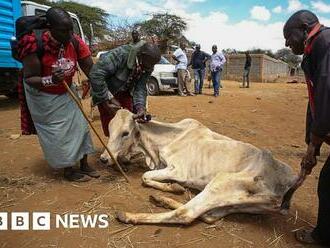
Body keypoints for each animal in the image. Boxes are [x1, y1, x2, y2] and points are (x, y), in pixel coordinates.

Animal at [101, 109, 300, 226]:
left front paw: (175, 186)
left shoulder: (177, 169)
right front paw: (174, 188)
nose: (103, 158)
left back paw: (129, 215)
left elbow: (145, 176)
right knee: (207, 216)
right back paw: (161, 199)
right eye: (109, 130)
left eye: (125, 133)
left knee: (186, 214)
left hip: (220, 182)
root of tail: (286, 185)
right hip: (238, 204)